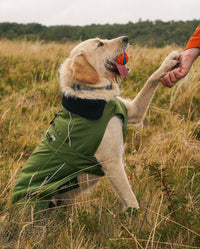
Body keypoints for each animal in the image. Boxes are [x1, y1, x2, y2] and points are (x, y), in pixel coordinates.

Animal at [11, 36, 179, 212]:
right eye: (100, 44)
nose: (126, 38)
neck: (90, 94)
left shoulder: (134, 111)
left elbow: (150, 79)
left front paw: (169, 61)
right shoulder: (112, 162)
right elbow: (130, 198)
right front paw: (135, 217)